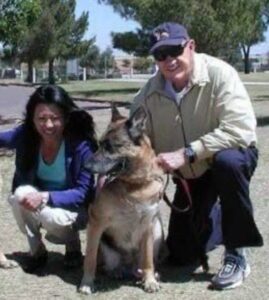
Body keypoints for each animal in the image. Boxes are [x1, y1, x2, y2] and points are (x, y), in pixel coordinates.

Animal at [78, 106, 164, 294]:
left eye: (110, 147)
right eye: (99, 144)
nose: (85, 166)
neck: (134, 186)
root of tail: (129, 266)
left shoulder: (149, 225)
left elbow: (148, 260)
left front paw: (150, 281)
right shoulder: (96, 223)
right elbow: (90, 259)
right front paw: (87, 283)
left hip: (158, 231)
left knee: (143, 264)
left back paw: (146, 275)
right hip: (103, 243)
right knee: (106, 265)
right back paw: (116, 272)